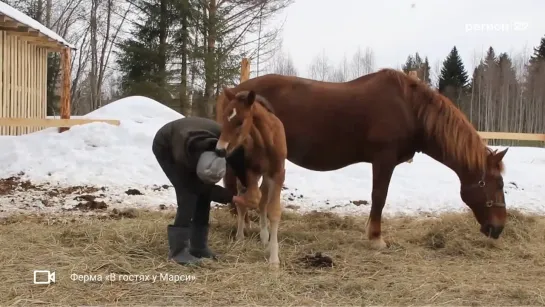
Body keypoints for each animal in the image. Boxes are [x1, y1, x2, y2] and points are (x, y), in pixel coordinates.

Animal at [215, 88, 286, 268]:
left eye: (240, 121)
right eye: (224, 117)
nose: (220, 150)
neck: (266, 141)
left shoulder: (278, 174)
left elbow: (272, 210)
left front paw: (274, 258)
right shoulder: (250, 171)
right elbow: (253, 198)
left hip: (266, 176)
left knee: (263, 200)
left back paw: (264, 236)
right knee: (250, 198)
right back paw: (241, 235)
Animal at [216, 68, 506, 250]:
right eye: (498, 184)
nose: (498, 228)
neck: (409, 108)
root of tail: (237, 91)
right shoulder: (383, 160)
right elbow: (379, 197)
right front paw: (376, 238)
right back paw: (247, 225)